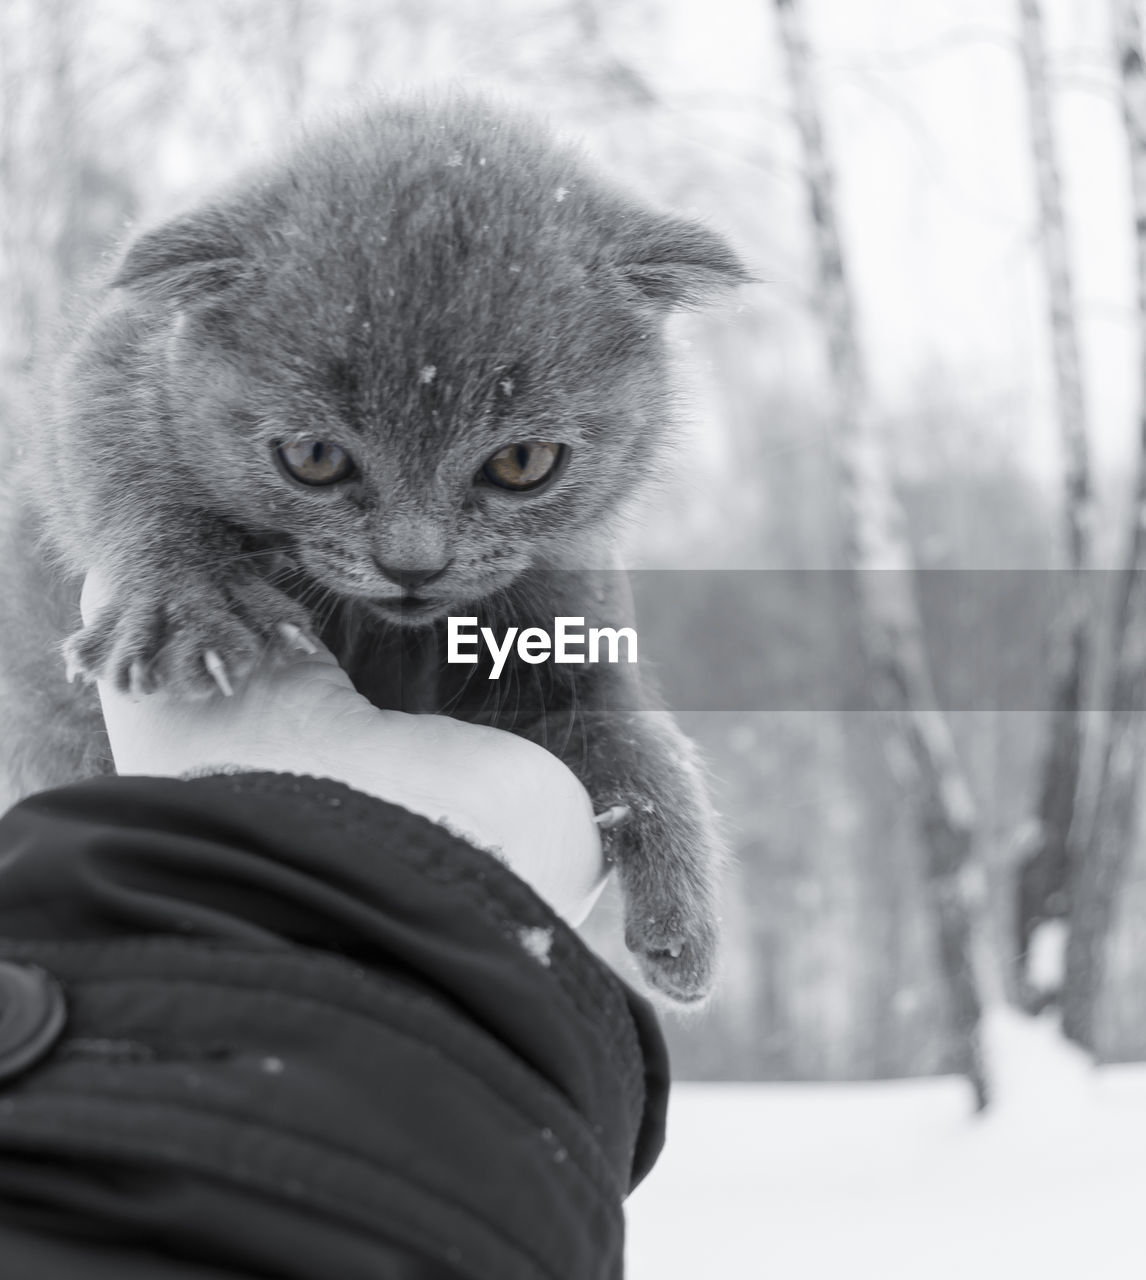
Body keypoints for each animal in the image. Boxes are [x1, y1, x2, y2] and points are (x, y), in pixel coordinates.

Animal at [0, 94, 747, 1003]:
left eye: (523, 463)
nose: (413, 564)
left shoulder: (570, 607)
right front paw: (190, 602)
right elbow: (111, 454)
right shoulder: (111, 362)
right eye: (315, 457)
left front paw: (685, 912)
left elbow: (633, 732)